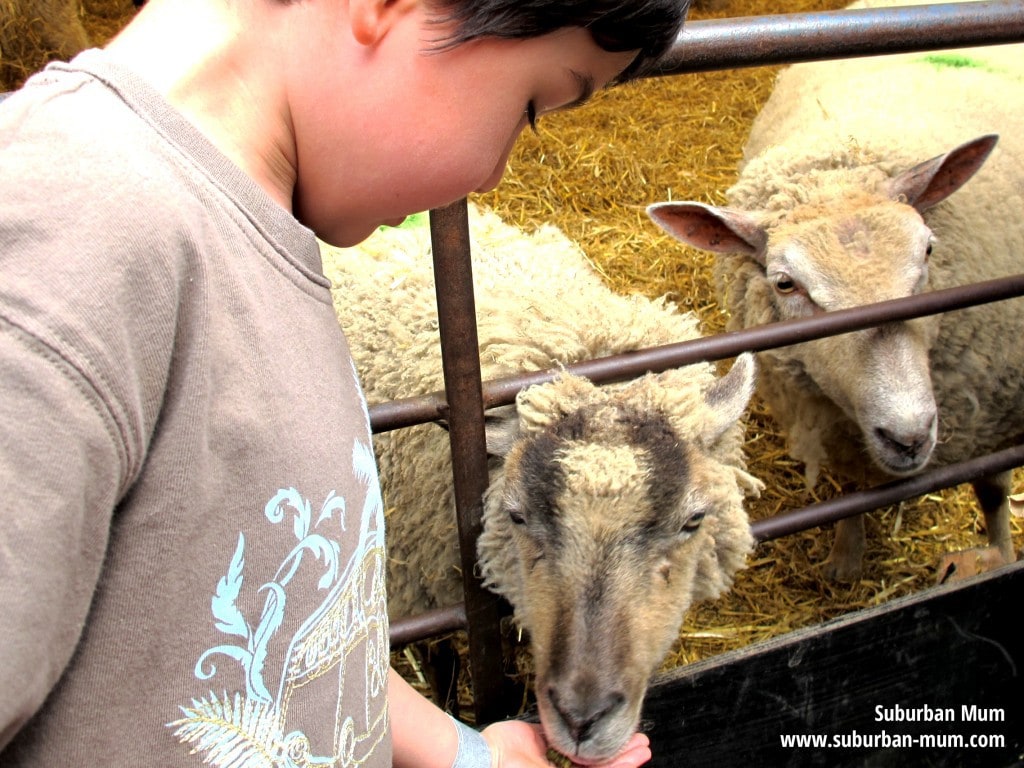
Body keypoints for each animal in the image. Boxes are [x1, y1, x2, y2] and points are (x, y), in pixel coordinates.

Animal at [647, 0, 1024, 581]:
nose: (910, 435)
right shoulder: (842, 431)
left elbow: (993, 489)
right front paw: (846, 559)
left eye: (928, 252)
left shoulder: (997, 416)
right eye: (785, 283)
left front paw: (1001, 554)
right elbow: (852, 490)